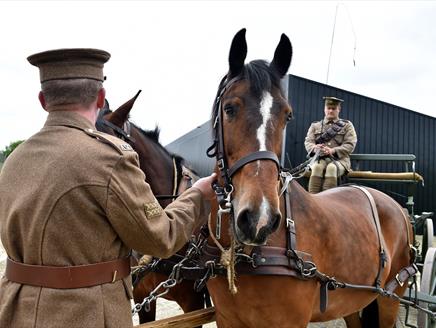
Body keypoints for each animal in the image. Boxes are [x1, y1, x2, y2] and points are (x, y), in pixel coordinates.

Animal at [204, 28, 412, 328]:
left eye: (287, 115)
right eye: (230, 109)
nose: (259, 219)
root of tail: (399, 208)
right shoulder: (226, 318)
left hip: (390, 298)